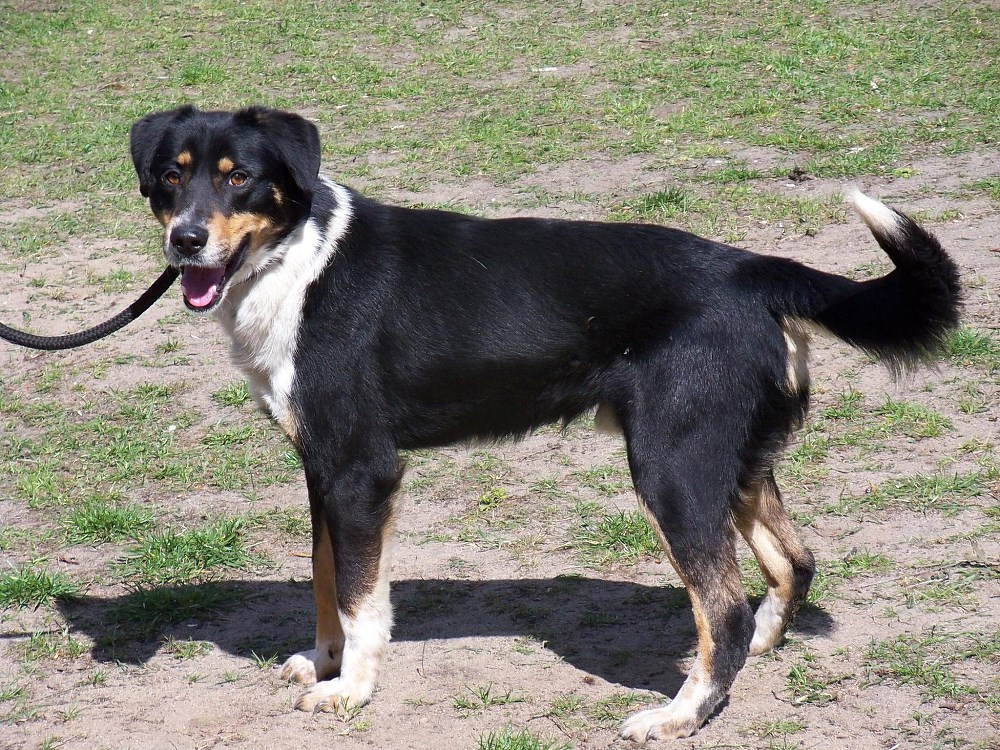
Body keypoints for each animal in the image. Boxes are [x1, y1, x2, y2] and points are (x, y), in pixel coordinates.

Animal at [128, 105, 961, 740]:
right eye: (172, 175)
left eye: (239, 175)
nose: (186, 240)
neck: (296, 262)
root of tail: (750, 267)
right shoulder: (321, 470)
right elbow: (325, 577)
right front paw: (323, 661)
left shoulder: (363, 472)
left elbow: (362, 598)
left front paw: (350, 690)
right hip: (730, 462)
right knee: (792, 564)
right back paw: (750, 655)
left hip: (670, 471)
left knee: (719, 609)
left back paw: (680, 715)